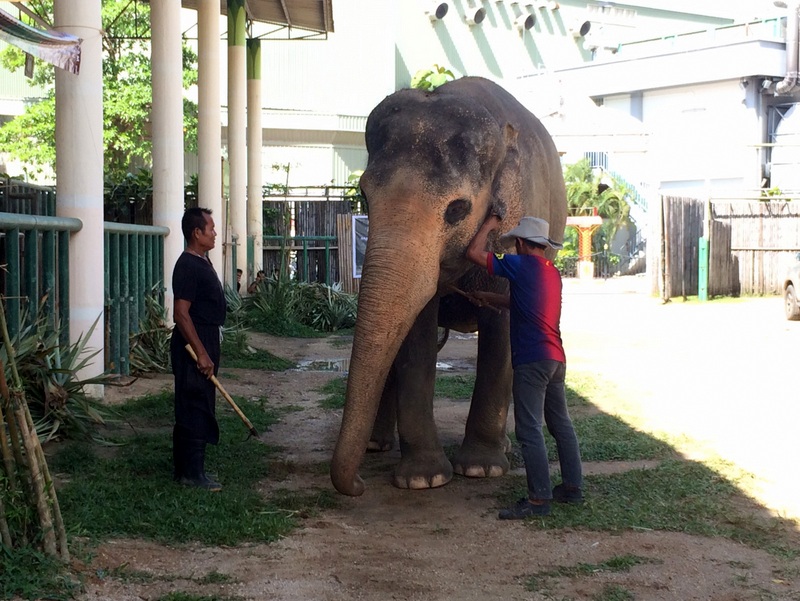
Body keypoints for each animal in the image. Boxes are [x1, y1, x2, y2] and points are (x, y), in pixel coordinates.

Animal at [330, 76, 567, 497]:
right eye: (364, 198)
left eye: (457, 210)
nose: (357, 484)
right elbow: (415, 332)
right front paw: (423, 479)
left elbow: (501, 328)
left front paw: (480, 469)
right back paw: (376, 445)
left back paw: (503, 449)